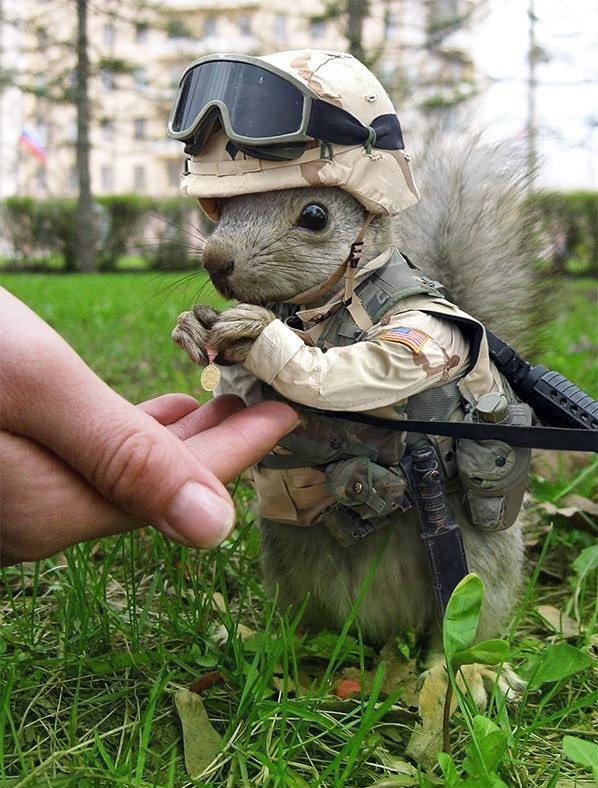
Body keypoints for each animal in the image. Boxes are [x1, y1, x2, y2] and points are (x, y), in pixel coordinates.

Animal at [168, 51, 536, 682]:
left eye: (314, 214)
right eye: (221, 209)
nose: (216, 260)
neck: (323, 309)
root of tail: (381, 632)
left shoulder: (425, 327)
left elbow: (369, 368)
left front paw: (257, 334)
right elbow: (240, 398)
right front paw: (195, 328)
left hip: (479, 569)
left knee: (465, 623)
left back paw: (458, 674)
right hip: (289, 562)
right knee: (304, 621)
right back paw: (270, 643)